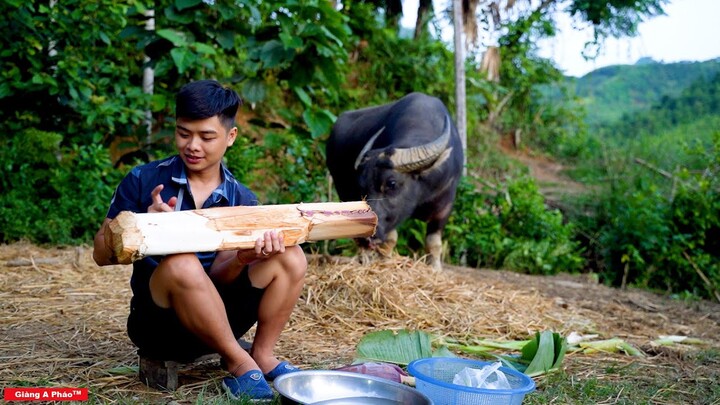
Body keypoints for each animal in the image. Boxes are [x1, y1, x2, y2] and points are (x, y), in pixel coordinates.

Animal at [324, 91, 464, 268]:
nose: (370, 233)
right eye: (361, 186)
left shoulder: (444, 207)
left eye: (391, 183)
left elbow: (434, 243)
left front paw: (435, 268)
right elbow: (390, 240)